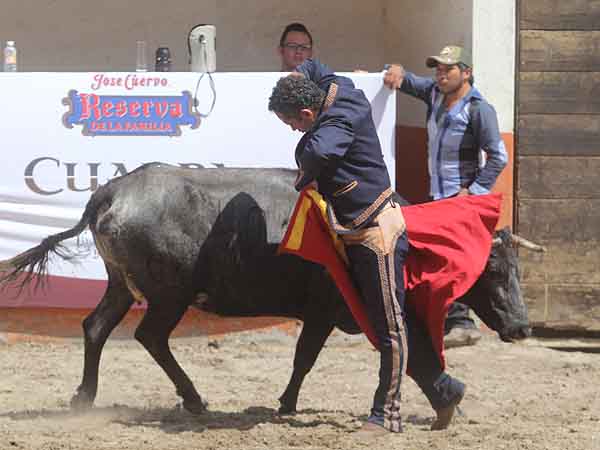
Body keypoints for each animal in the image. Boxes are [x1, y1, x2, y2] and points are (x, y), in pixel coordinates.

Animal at [1, 163, 540, 414]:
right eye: (492, 269)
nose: (522, 327)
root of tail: (113, 192)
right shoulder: (333, 311)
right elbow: (322, 356)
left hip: (120, 285)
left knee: (95, 328)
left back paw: (85, 397)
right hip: (169, 295)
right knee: (149, 336)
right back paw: (193, 399)